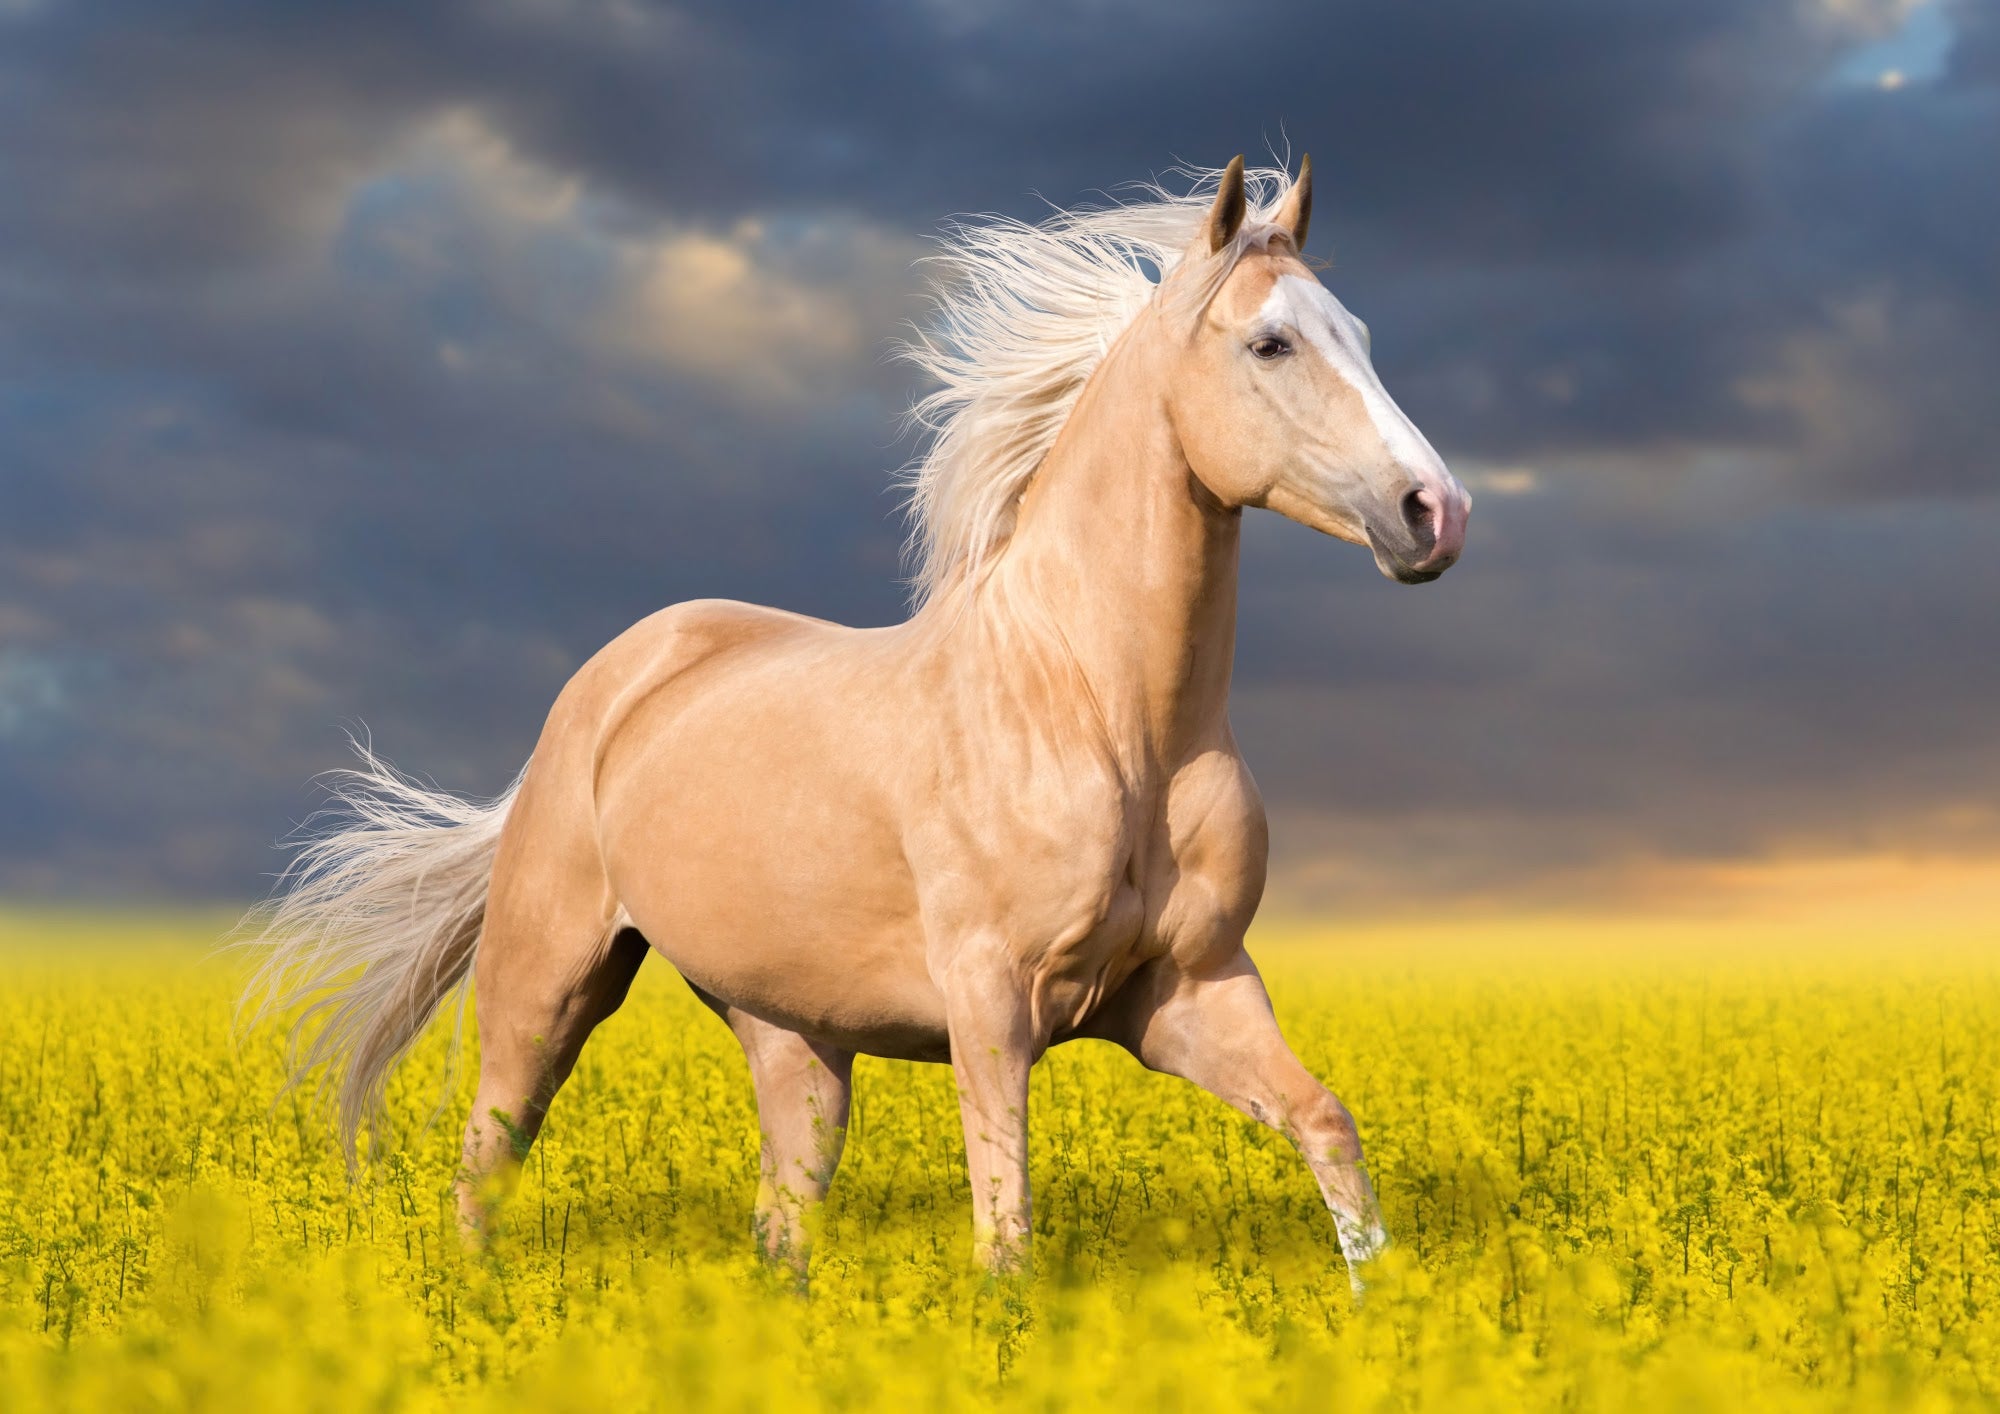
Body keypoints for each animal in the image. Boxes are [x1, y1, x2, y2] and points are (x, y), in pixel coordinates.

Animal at [242, 155, 1471, 1292]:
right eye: (1270, 345)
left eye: (1358, 334)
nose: (1435, 513)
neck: (1102, 715)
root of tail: (608, 684)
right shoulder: (992, 1004)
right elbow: (1005, 1233)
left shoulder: (1188, 991)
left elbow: (1327, 1126)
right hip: (545, 985)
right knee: (484, 1161)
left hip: (791, 1032)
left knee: (781, 1212)